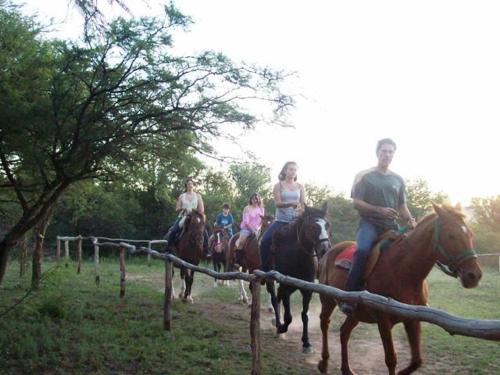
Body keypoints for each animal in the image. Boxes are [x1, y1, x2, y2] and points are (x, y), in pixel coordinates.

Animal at [270, 207, 332, 354]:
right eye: (313, 226)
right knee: (274, 299)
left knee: (278, 298)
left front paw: (306, 343)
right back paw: (277, 325)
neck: (298, 256)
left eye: (327, 225)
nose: (325, 249)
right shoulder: (286, 285)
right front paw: (282, 328)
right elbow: (288, 317)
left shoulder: (307, 289)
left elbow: (304, 315)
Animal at [318, 204, 482, 374]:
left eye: (470, 234)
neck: (403, 270)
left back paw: (346, 369)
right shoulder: (383, 321)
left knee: (344, 332)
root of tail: (329, 252)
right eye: (451, 236)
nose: (474, 275)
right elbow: (391, 359)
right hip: (327, 300)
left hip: (356, 313)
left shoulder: (413, 319)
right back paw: (324, 362)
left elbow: (416, 360)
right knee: (324, 323)